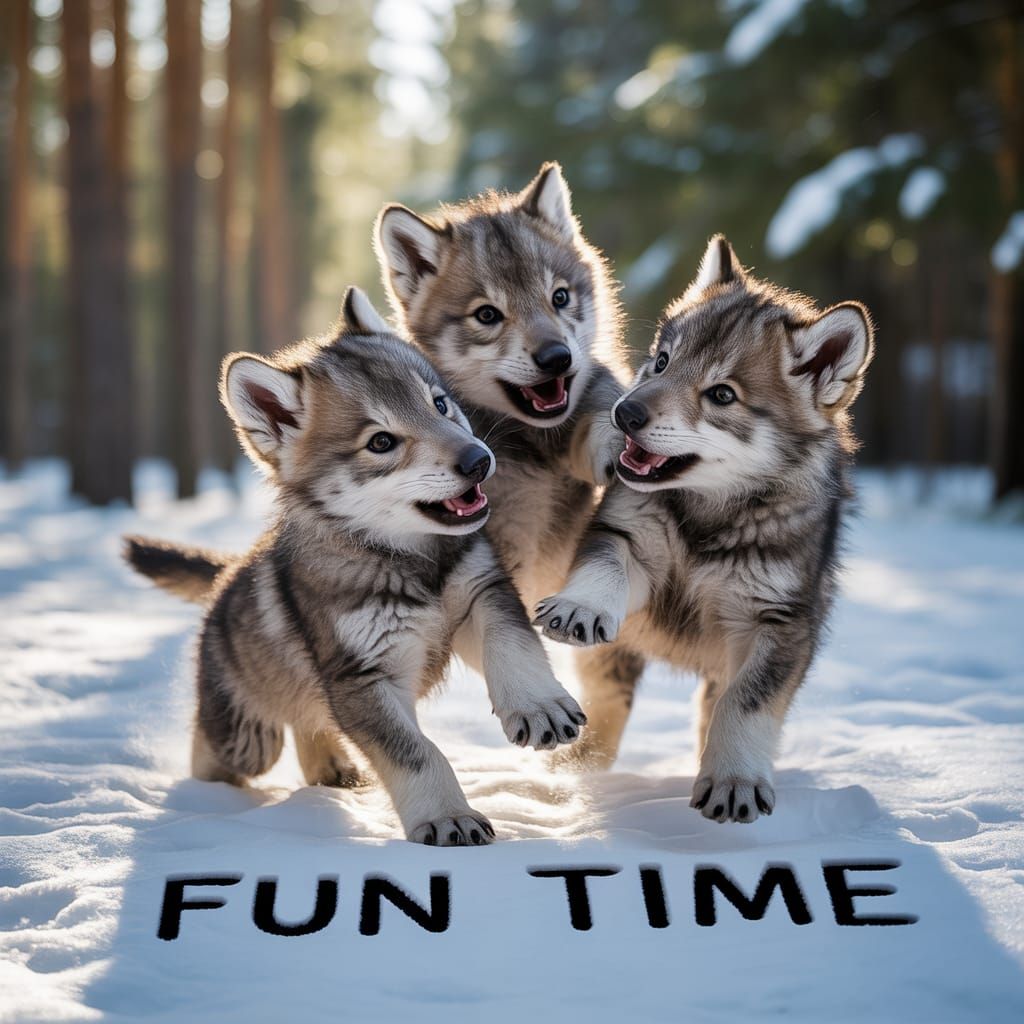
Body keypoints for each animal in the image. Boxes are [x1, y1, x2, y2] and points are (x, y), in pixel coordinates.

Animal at [125, 288, 585, 845]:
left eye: (439, 404)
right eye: (381, 442)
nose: (478, 461)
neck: (409, 562)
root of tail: (227, 574)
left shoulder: (482, 595)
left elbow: (514, 647)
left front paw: (539, 706)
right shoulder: (361, 679)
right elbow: (418, 753)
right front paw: (447, 816)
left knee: (311, 724)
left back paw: (331, 769)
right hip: (247, 739)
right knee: (218, 749)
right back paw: (208, 798)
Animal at [534, 236, 874, 821]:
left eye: (721, 395)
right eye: (661, 362)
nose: (624, 413)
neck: (709, 518)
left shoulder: (779, 625)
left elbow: (743, 705)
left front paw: (735, 780)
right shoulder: (628, 542)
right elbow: (605, 574)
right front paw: (581, 606)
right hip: (614, 657)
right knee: (609, 706)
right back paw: (577, 766)